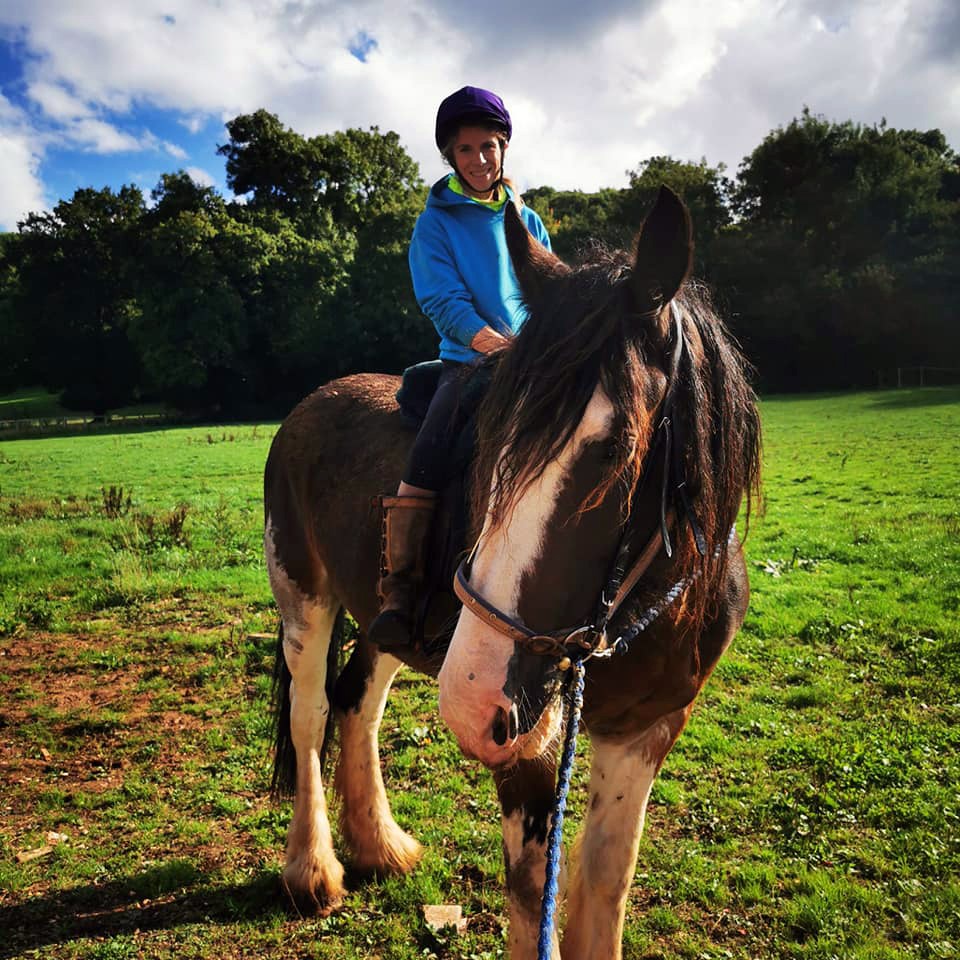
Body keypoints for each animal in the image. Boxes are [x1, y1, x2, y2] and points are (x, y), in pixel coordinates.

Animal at [262, 188, 756, 960]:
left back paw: (379, 846)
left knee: (358, 705)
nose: (472, 704)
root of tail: (310, 405)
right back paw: (312, 869)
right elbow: (532, 902)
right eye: (490, 432)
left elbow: (604, 881)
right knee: (310, 713)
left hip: (386, 625)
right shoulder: (527, 747)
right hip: (302, 598)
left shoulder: (647, 727)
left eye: (616, 448)